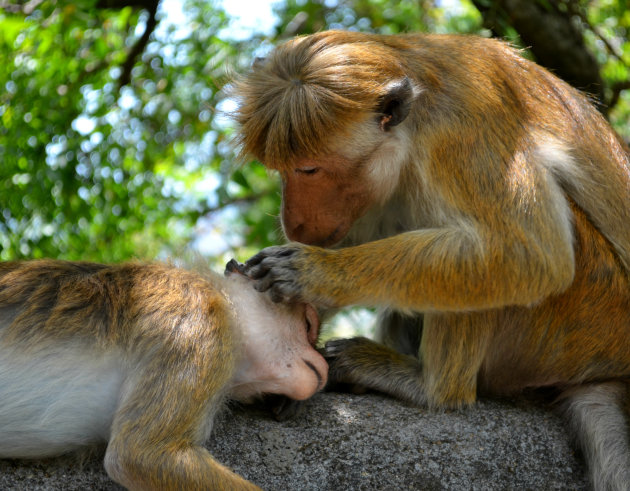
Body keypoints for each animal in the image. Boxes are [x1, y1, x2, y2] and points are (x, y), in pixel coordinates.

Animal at [235, 31, 630, 491]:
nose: (293, 220)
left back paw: (429, 387)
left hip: (587, 319)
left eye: (309, 169)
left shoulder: (461, 133)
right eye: (282, 169)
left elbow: (532, 255)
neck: (416, 125)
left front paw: (314, 273)